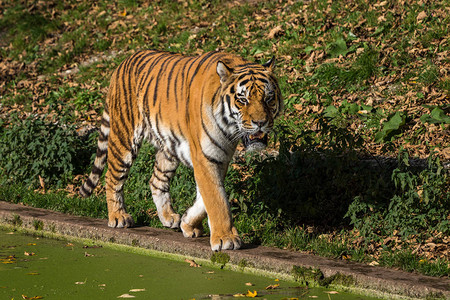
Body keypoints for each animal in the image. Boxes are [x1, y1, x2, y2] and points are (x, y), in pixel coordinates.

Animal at [77, 49, 282, 251]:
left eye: (268, 98)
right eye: (242, 99)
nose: (260, 123)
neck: (229, 129)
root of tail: (122, 62)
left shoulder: (219, 158)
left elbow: (205, 199)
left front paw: (188, 223)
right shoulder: (205, 157)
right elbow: (217, 200)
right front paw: (226, 238)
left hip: (168, 148)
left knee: (156, 181)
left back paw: (169, 217)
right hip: (124, 137)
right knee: (112, 177)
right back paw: (118, 216)